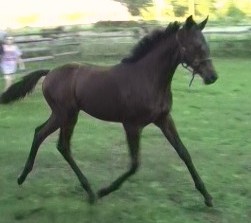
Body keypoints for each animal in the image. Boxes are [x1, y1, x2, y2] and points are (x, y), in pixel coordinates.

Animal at [0, 16, 218, 207]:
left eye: (206, 44)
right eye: (197, 46)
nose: (212, 77)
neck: (148, 77)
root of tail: (50, 72)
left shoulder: (164, 119)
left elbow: (184, 152)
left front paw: (207, 196)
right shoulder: (132, 125)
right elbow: (134, 164)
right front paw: (104, 191)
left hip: (63, 115)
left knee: (45, 136)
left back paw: (26, 178)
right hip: (66, 115)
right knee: (59, 143)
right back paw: (89, 191)